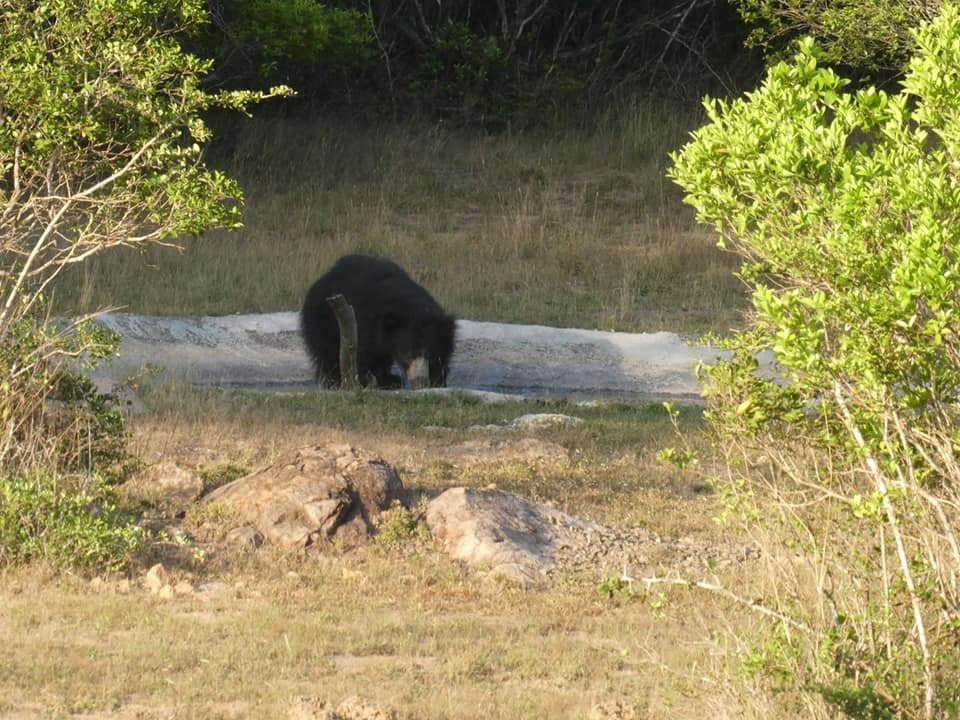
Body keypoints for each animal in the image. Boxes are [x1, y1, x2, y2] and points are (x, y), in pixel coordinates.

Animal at [300, 253, 458, 388]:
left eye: (429, 355)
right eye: (407, 355)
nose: (420, 381)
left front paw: (438, 381)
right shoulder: (367, 323)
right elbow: (366, 354)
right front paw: (380, 381)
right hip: (325, 319)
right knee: (326, 351)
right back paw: (333, 381)